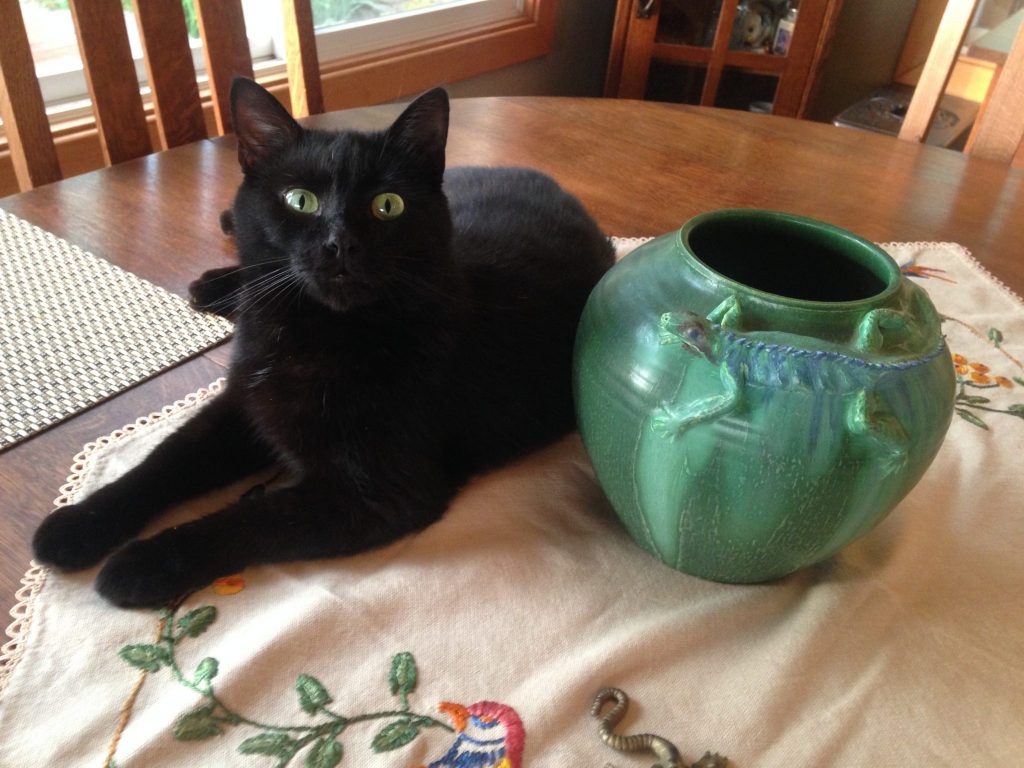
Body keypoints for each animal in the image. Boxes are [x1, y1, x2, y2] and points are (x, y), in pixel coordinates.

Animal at [32, 78, 615, 608]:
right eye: (301, 200)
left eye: (387, 205)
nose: (340, 244)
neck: (310, 332)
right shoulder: (243, 405)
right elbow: (164, 461)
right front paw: (75, 526)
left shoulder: (377, 491)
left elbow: (251, 516)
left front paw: (141, 564)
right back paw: (215, 284)